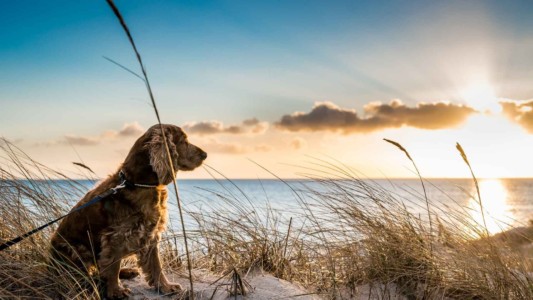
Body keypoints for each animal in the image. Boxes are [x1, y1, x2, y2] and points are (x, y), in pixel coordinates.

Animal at [51, 123, 206, 298]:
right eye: (184, 141)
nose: (205, 154)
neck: (137, 183)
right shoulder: (116, 237)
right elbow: (113, 266)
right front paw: (116, 291)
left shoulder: (150, 233)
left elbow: (156, 265)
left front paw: (165, 286)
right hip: (77, 250)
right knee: (85, 275)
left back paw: (127, 272)